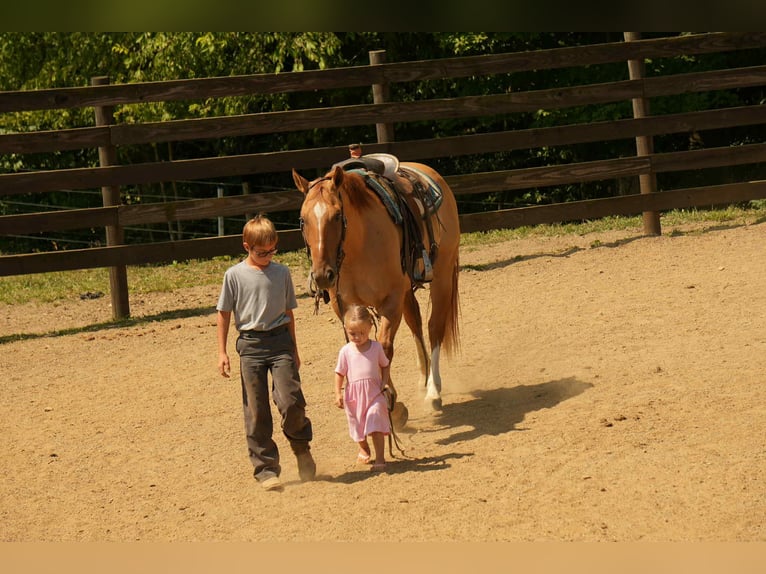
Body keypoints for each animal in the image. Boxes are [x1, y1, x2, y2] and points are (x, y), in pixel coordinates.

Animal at [292, 158, 460, 416]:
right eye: (303, 219)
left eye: (337, 215)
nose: (322, 276)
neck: (359, 245)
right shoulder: (345, 305)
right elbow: (361, 345)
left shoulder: (390, 301)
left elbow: (384, 346)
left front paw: (390, 401)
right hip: (407, 292)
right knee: (416, 323)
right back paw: (423, 381)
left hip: (441, 277)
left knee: (434, 327)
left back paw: (433, 390)